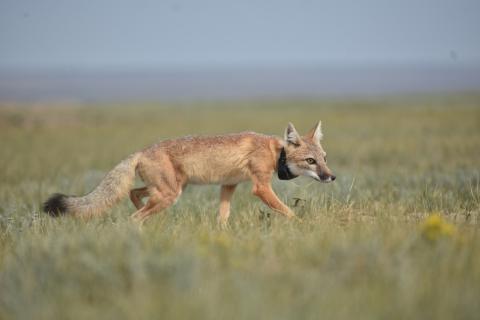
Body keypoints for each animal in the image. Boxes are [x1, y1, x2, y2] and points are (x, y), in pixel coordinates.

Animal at [44, 121, 334, 224]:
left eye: (324, 159)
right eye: (310, 161)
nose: (331, 177)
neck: (275, 152)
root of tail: (141, 150)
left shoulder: (228, 186)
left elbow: (223, 217)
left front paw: (222, 236)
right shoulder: (260, 187)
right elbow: (289, 211)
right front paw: (303, 226)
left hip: (168, 190)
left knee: (133, 194)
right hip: (170, 194)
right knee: (133, 216)